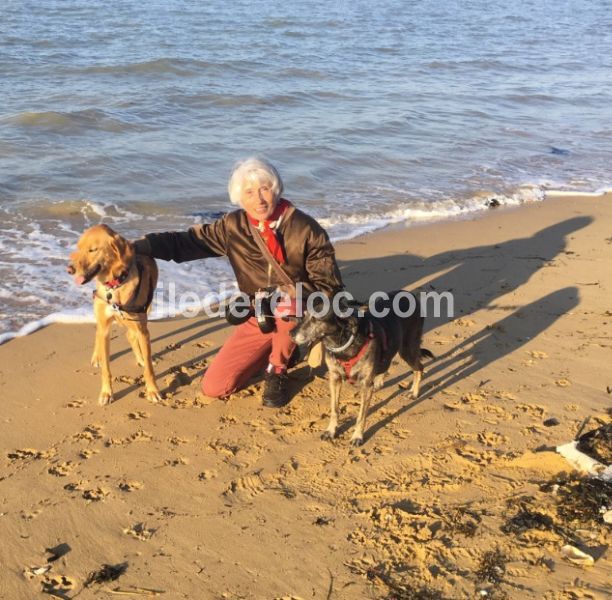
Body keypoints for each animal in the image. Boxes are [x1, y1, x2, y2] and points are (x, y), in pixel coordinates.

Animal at [67, 224, 160, 404]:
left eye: (92, 250)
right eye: (79, 248)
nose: (69, 269)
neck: (115, 286)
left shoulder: (142, 329)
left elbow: (149, 368)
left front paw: (152, 390)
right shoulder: (105, 329)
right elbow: (106, 369)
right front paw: (106, 393)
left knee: (131, 337)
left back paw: (140, 358)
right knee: (98, 333)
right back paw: (97, 357)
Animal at [290, 290, 430, 446]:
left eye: (316, 319)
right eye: (304, 315)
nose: (291, 334)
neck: (344, 343)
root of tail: (408, 294)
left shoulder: (365, 384)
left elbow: (361, 415)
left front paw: (357, 436)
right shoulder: (334, 378)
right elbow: (334, 409)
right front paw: (331, 431)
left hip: (407, 348)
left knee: (419, 367)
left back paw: (414, 392)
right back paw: (379, 382)